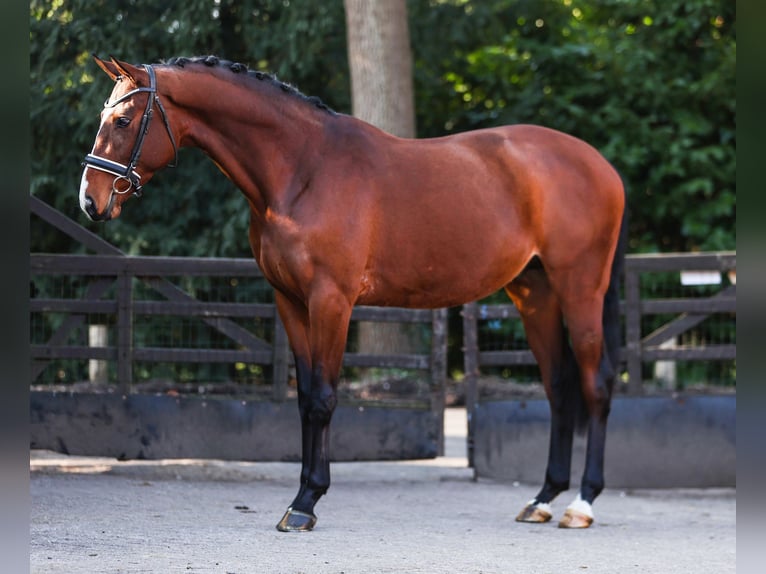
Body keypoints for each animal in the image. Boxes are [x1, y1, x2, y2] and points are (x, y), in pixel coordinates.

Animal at [81, 56, 628, 532]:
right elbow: (305, 398)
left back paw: (582, 503)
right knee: (559, 387)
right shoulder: (290, 301)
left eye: (125, 120)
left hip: (579, 289)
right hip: (535, 293)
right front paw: (303, 495)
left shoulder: (332, 301)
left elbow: (324, 398)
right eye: (105, 116)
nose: (90, 200)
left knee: (595, 384)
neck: (303, 169)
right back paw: (543, 499)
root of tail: (599, 165)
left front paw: (305, 504)